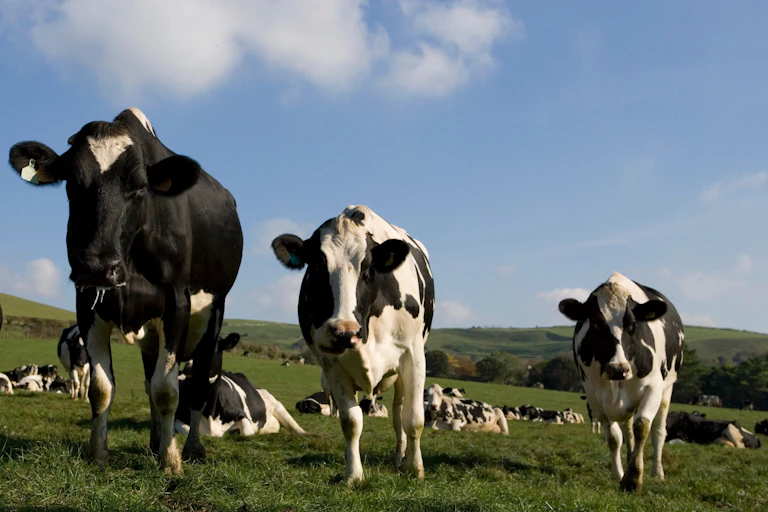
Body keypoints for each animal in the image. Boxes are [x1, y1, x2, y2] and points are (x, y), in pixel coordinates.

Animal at [8, 107, 243, 474]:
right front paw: (99, 453)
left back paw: (192, 448)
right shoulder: (87, 303)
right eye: (72, 183)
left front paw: (171, 461)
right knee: (148, 383)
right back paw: (155, 440)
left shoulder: (177, 303)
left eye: (140, 187)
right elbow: (103, 388)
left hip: (213, 316)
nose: (97, 265)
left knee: (198, 386)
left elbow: (168, 391)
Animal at [271, 205, 435, 484]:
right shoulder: (331, 362)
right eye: (316, 268)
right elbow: (351, 421)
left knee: (399, 414)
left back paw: (400, 458)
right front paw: (353, 475)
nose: (344, 332)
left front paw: (415, 469)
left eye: (368, 270)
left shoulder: (413, 354)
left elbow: (413, 419)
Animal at [558, 272, 684, 492]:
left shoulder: (653, 388)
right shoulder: (594, 398)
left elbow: (642, 427)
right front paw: (619, 474)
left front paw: (633, 479)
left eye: (632, 324)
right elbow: (614, 437)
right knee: (627, 431)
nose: (618, 368)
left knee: (659, 432)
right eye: (595, 324)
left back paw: (657, 472)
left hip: (667, 390)